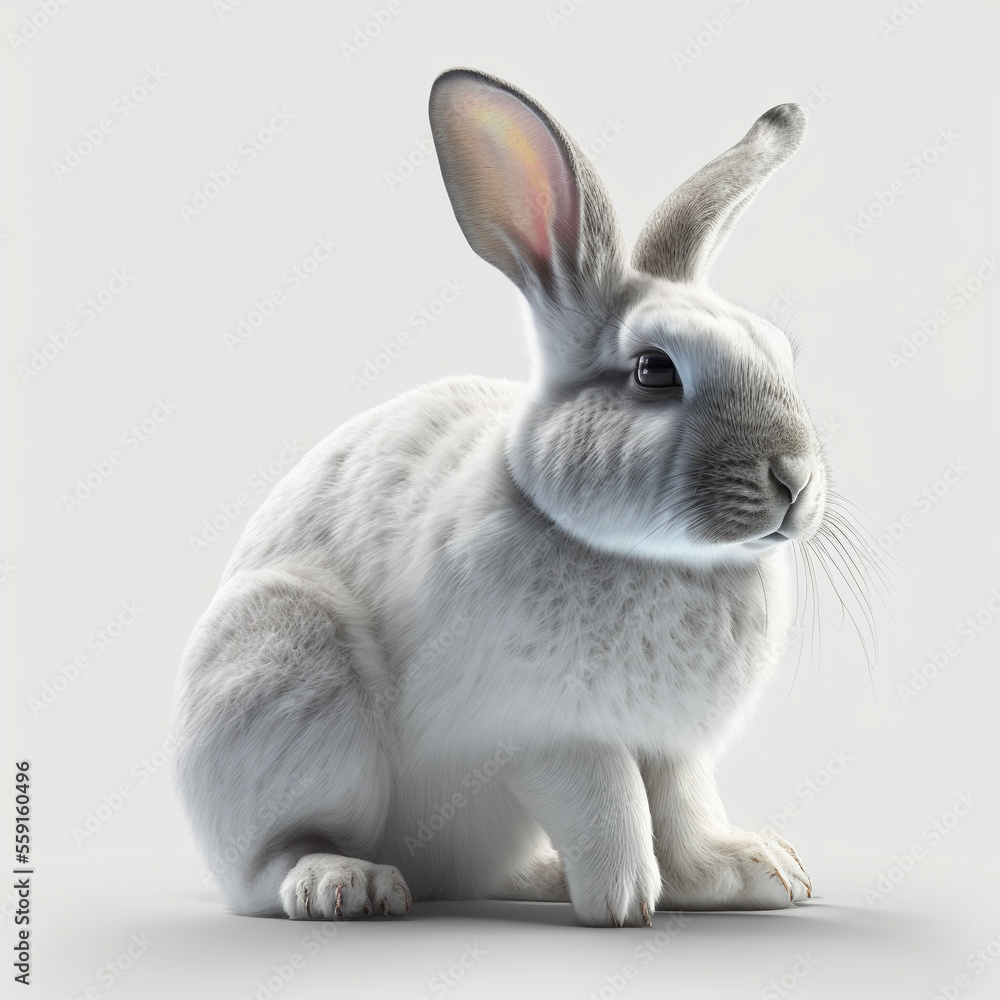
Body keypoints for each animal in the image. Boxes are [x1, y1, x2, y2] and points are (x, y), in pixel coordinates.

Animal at [171, 67, 823, 928]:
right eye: (654, 370)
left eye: (780, 352)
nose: (795, 479)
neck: (644, 552)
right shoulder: (546, 732)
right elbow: (609, 802)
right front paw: (624, 901)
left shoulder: (672, 745)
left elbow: (683, 812)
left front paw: (756, 874)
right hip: (286, 663)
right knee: (266, 868)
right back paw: (345, 883)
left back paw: (538, 878)